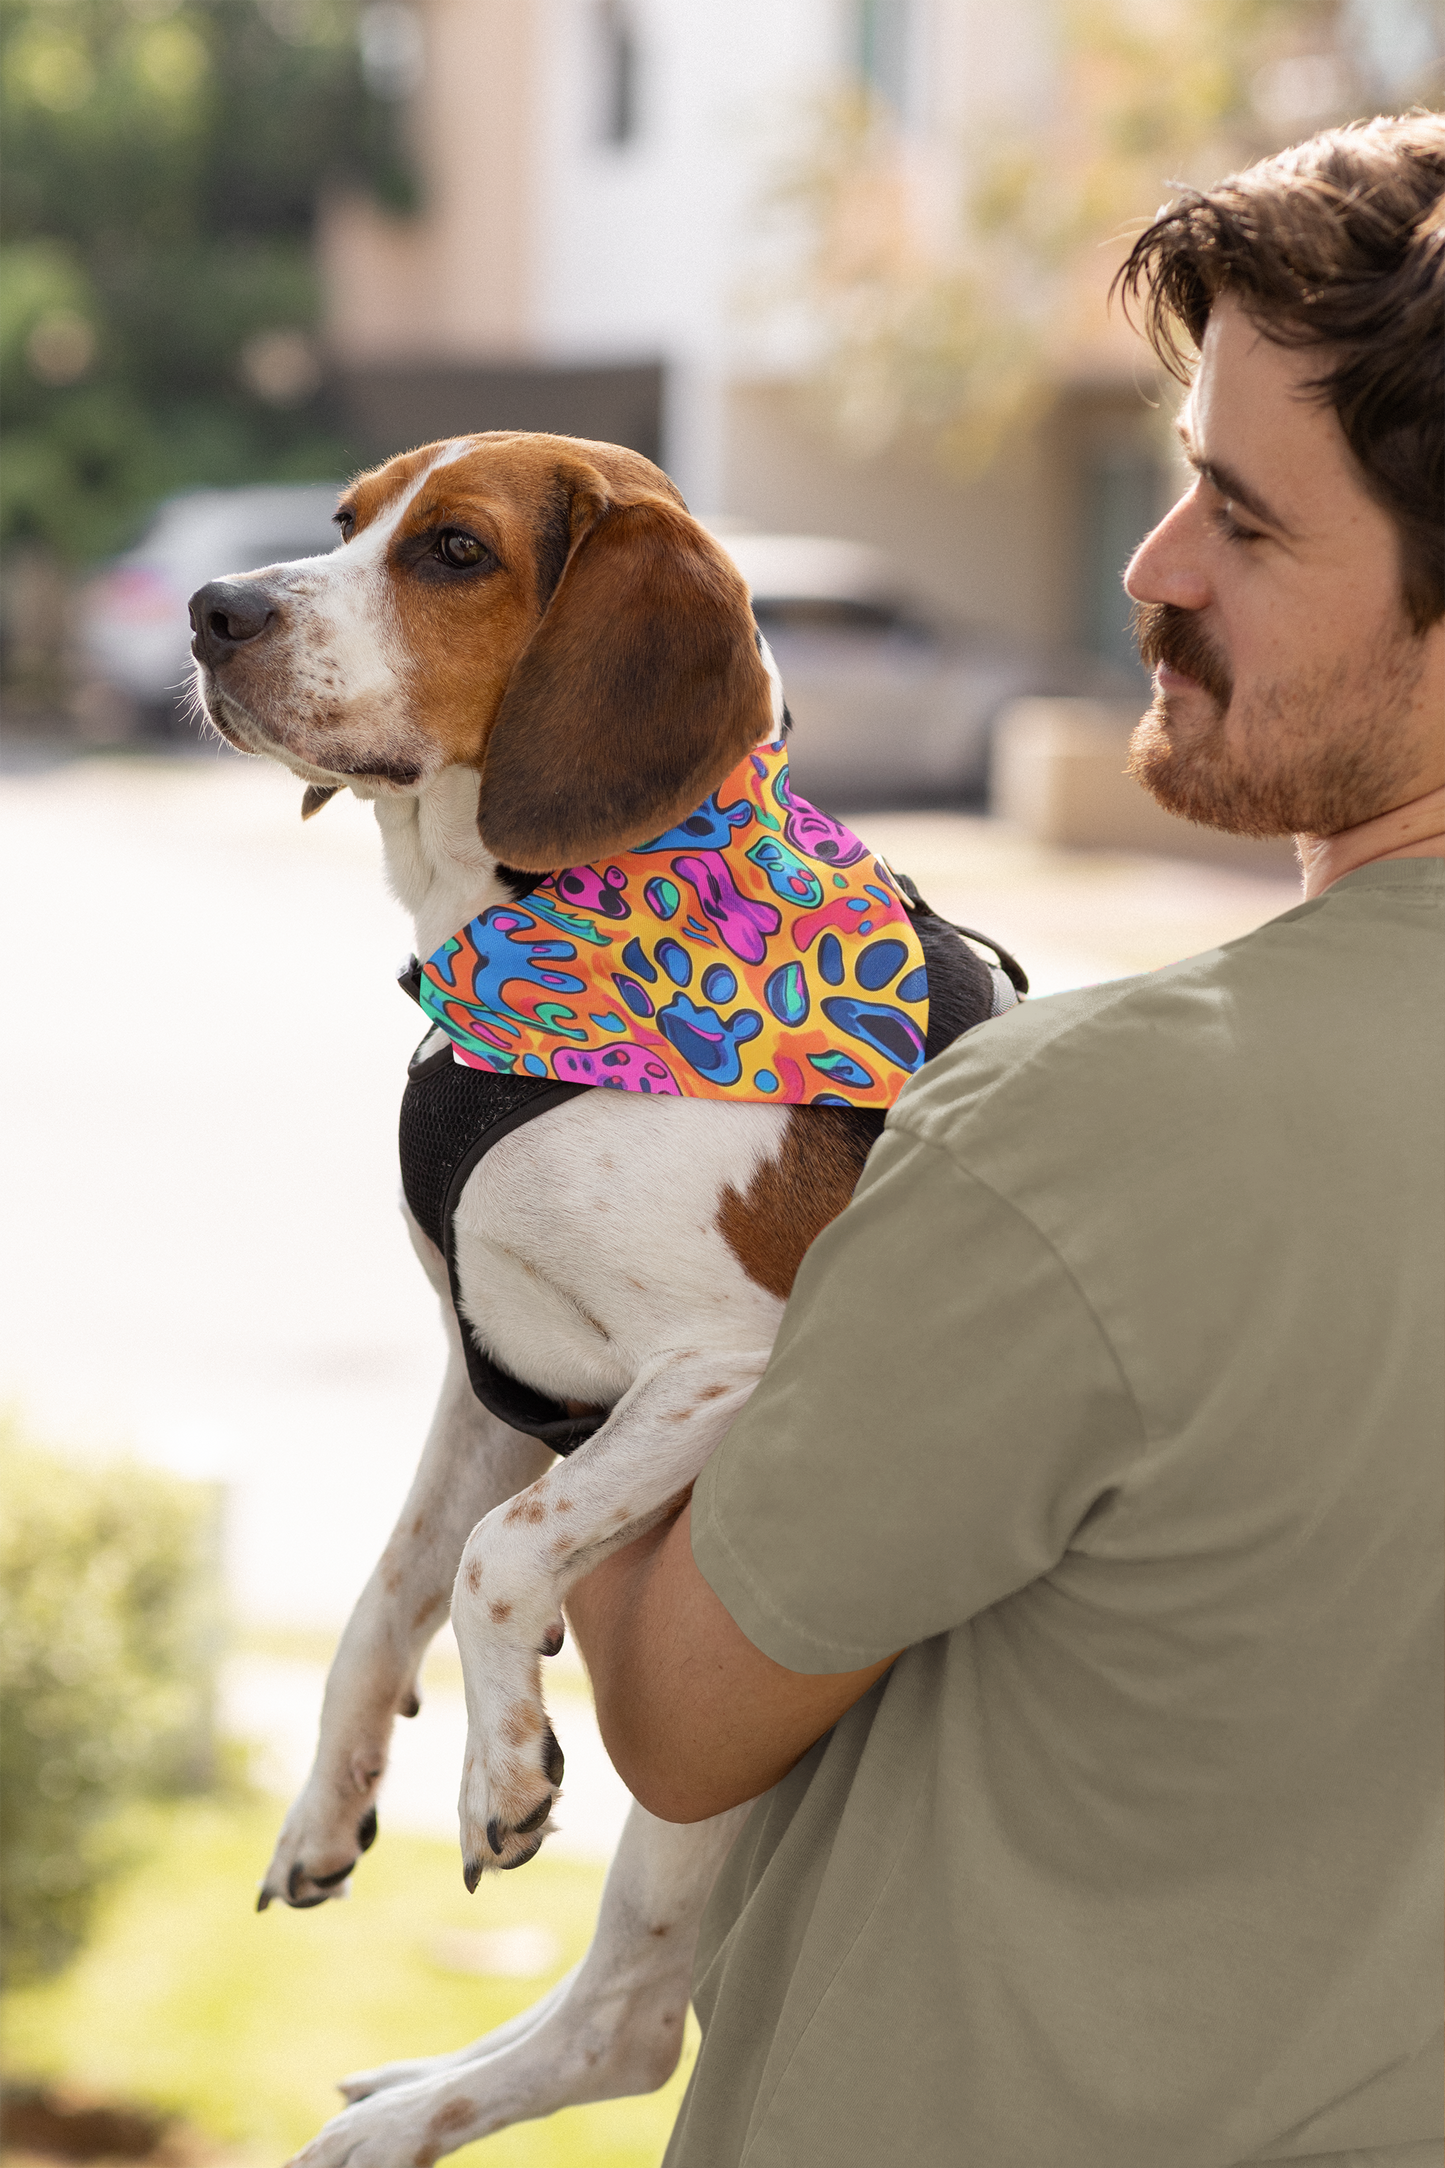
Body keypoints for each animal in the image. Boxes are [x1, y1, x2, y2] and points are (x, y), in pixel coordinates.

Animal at [189, 431, 1018, 2159]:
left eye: (454, 552)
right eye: (343, 522)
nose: (211, 608)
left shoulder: (732, 1371)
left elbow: (499, 1558)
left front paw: (497, 1769)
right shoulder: (490, 1372)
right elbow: (392, 1585)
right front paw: (331, 1797)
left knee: (635, 2026)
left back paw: (394, 2121)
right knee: (626, 2013)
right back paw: (405, 2099)